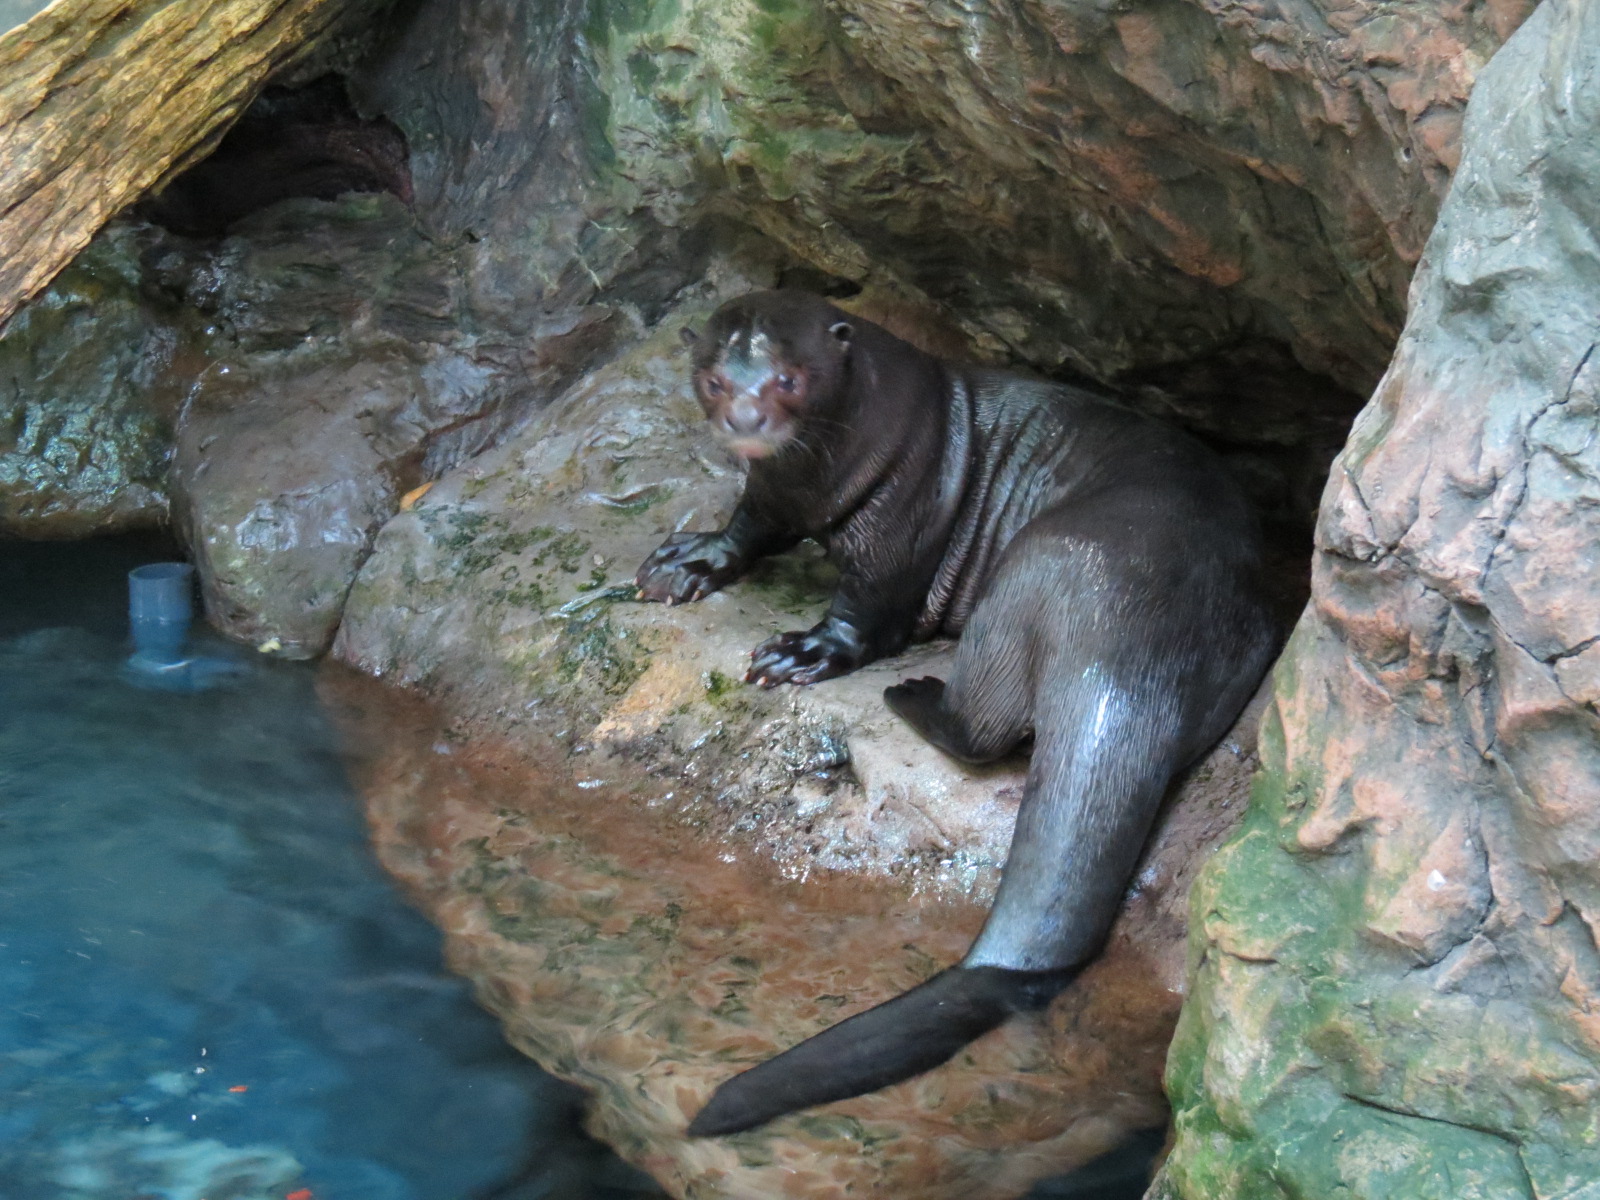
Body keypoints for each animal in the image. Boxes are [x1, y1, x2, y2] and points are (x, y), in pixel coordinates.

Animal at [635, 290, 1277, 1137]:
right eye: (713, 379)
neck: (826, 471)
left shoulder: (899, 517)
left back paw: (912, 694)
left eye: (789, 379)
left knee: (983, 728)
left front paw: (804, 651)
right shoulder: (773, 492)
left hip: (1027, 574)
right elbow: (748, 530)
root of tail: (1121, 649)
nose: (744, 420)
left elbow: (869, 612)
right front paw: (690, 558)